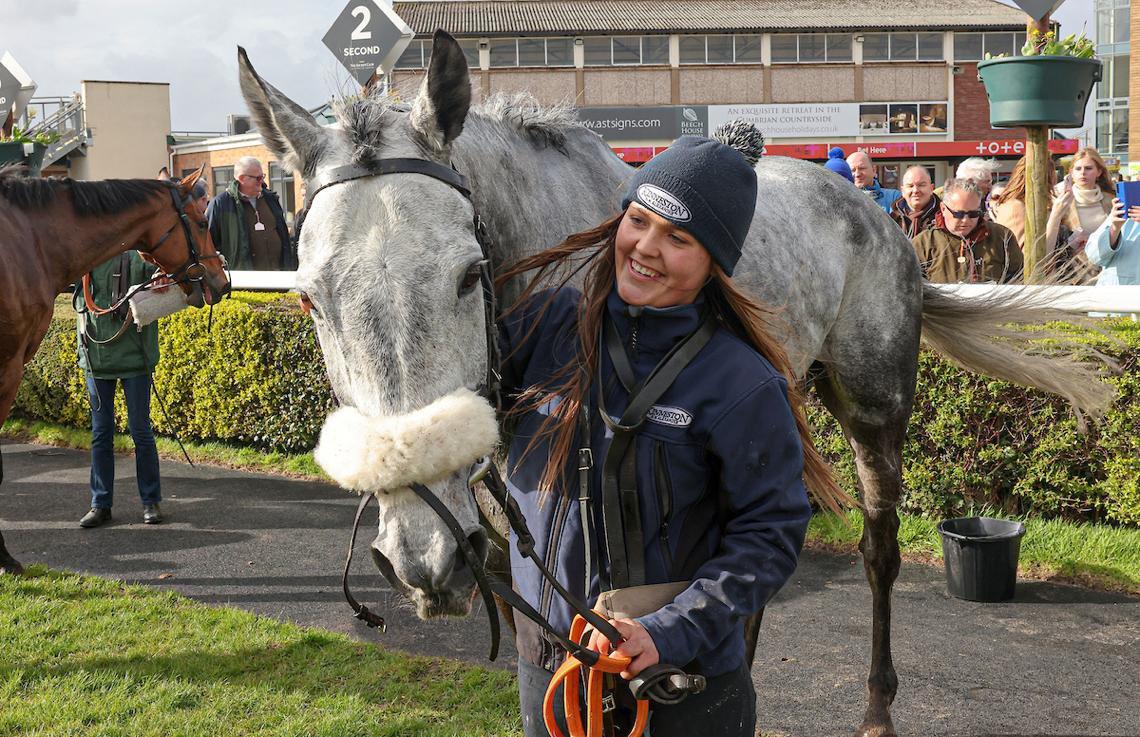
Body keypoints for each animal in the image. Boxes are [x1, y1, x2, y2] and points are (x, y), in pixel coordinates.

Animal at [238, 31, 1103, 737]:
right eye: (310, 296)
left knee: (877, 550)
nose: (422, 558)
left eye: (468, 274)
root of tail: (870, 206)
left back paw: (877, 706)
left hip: (875, 406)